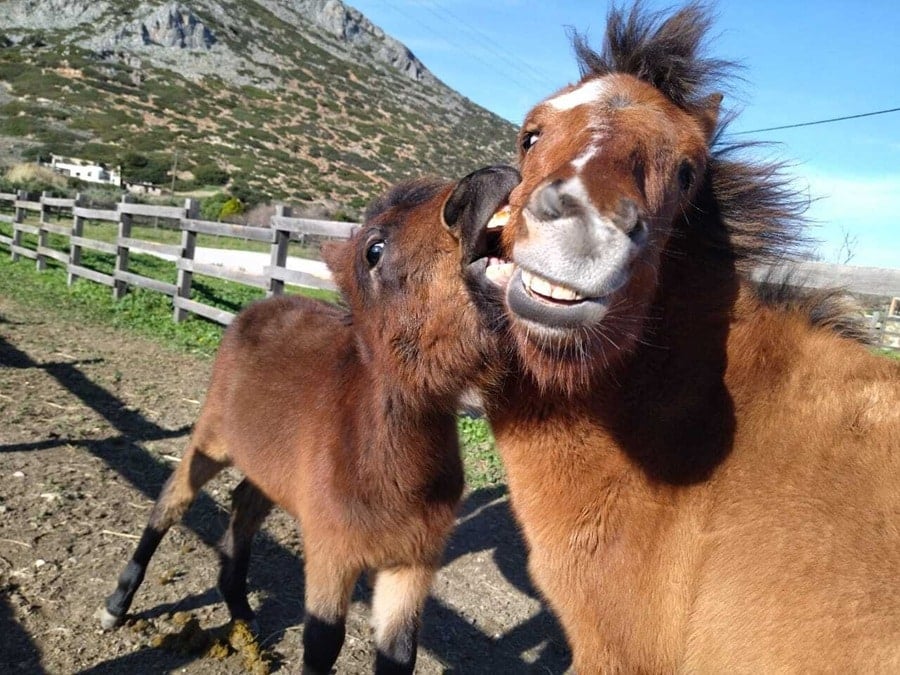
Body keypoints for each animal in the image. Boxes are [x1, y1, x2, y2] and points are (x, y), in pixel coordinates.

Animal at [98, 165, 520, 674]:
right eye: (373, 249)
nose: (489, 181)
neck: (386, 469)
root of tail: (261, 307)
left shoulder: (411, 564)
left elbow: (399, 654)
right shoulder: (330, 554)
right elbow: (322, 642)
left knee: (243, 505)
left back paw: (240, 608)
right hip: (211, 440)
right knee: (171, 502)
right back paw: (118, 603)